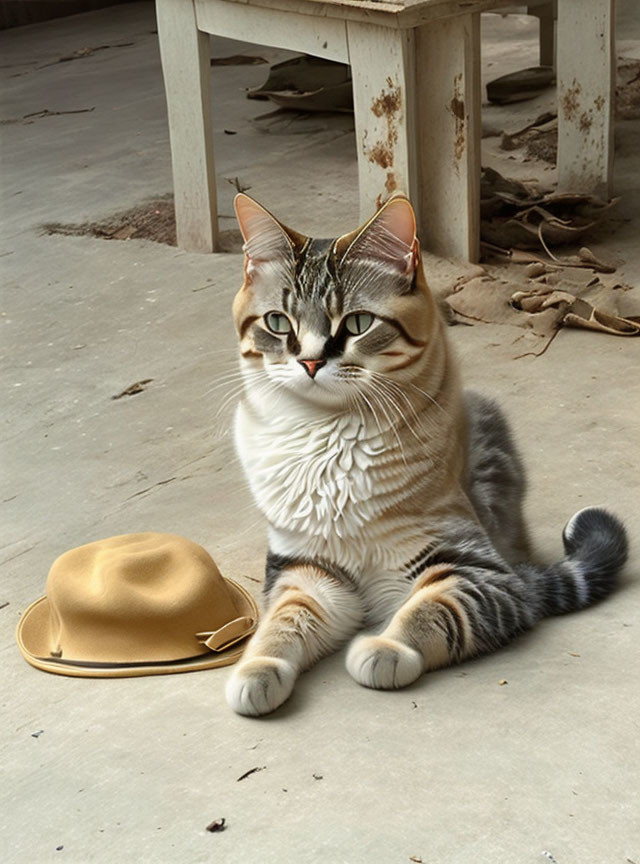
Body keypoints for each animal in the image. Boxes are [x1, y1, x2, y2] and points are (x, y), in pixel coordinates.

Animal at [222, 194, 628, 716]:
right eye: (277, 322)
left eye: (357, 323)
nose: (310, 362)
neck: (328, 440)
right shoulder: (310, 572)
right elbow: (283, 622)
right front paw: (257, 667)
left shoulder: (479, 571)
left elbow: (432, 610)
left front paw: (386, 647)